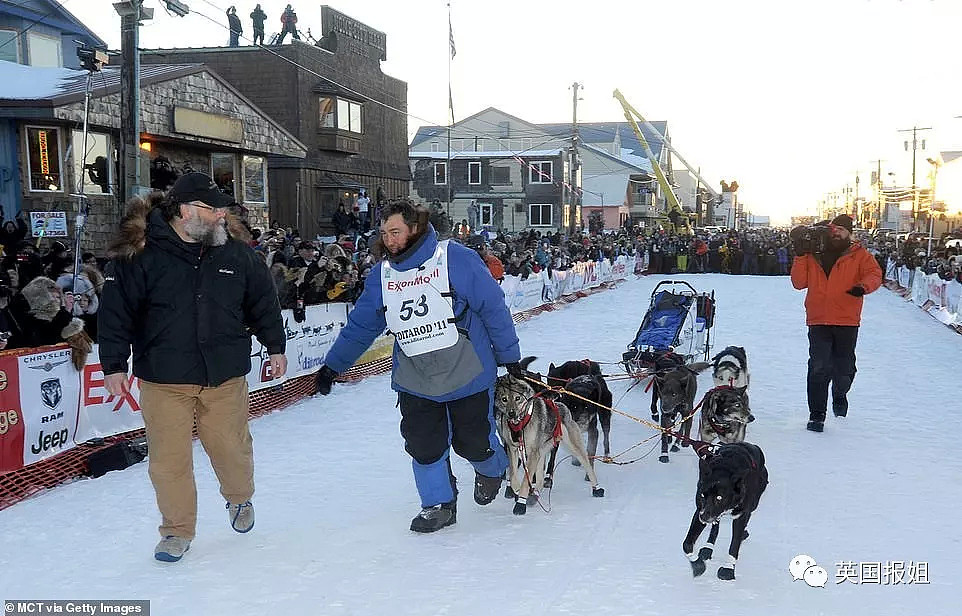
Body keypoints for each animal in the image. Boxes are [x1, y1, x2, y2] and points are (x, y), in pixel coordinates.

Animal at [680, 440, 768, 580]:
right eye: (703, 495)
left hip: (753, 503)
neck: (725, 468)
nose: (704, 517)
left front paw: (728, 570)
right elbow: (687, 544)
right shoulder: (700, 511)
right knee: (715, 527)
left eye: (719, 497)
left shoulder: (740, 515)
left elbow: (734, 544)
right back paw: (708, 548)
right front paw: (698, 565)